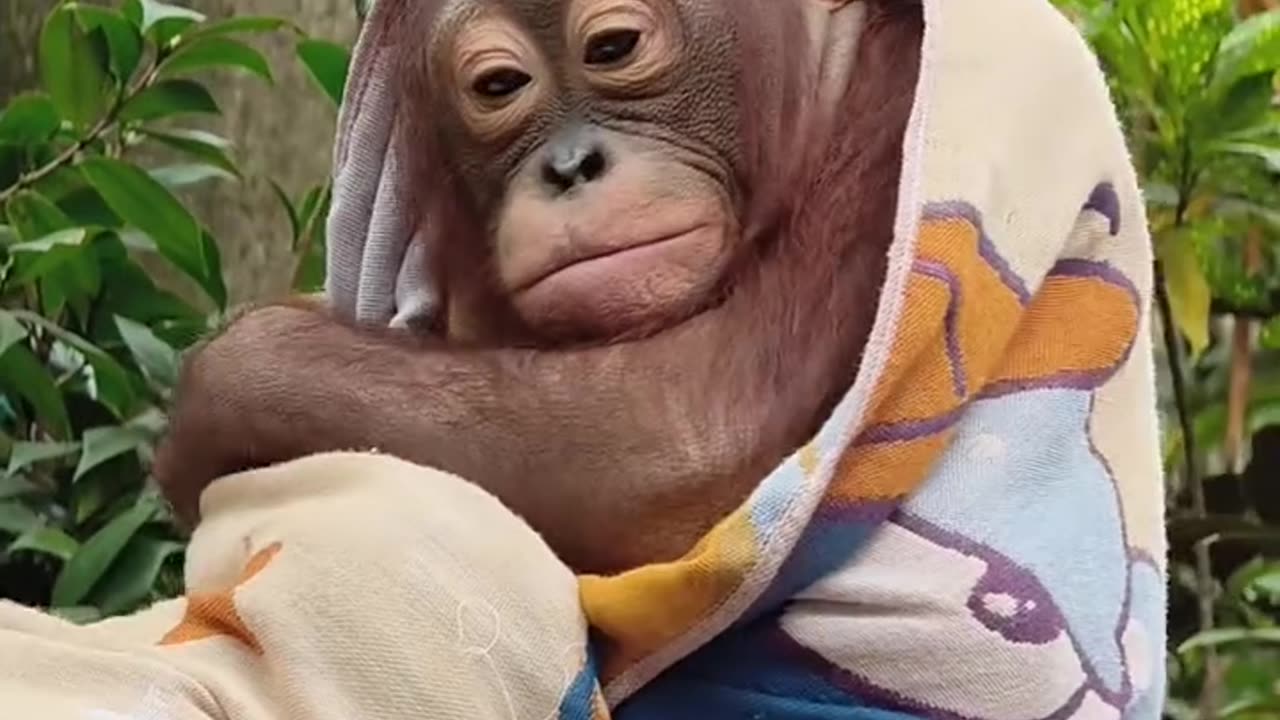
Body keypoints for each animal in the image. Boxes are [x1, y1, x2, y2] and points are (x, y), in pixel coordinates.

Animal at [153, 0, 924, 575]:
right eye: (499, 86)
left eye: (614, 47)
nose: (571, 166)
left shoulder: (894, 114)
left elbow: (696, 430)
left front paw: (228, 380)